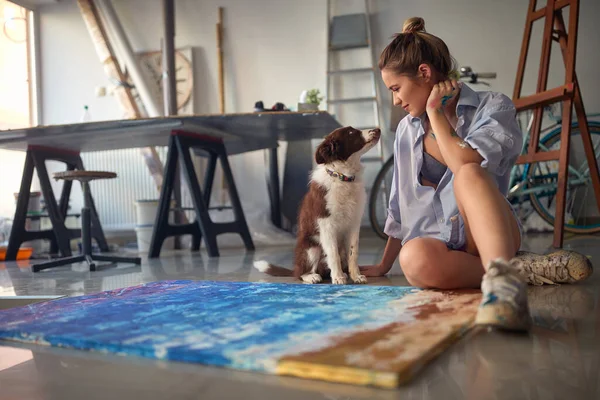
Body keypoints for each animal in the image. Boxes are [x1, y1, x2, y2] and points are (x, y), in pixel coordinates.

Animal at [253, 126, 380, 284]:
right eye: (351, 133)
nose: (378, 130)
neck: (343, 177)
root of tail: (295, 268)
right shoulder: (327, 224)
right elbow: (333, 253)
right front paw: (338, 278)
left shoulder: (353, 223)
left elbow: (353, 252)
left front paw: (356, 276)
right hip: (311, 248)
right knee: (302, 272)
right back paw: (312, 276)